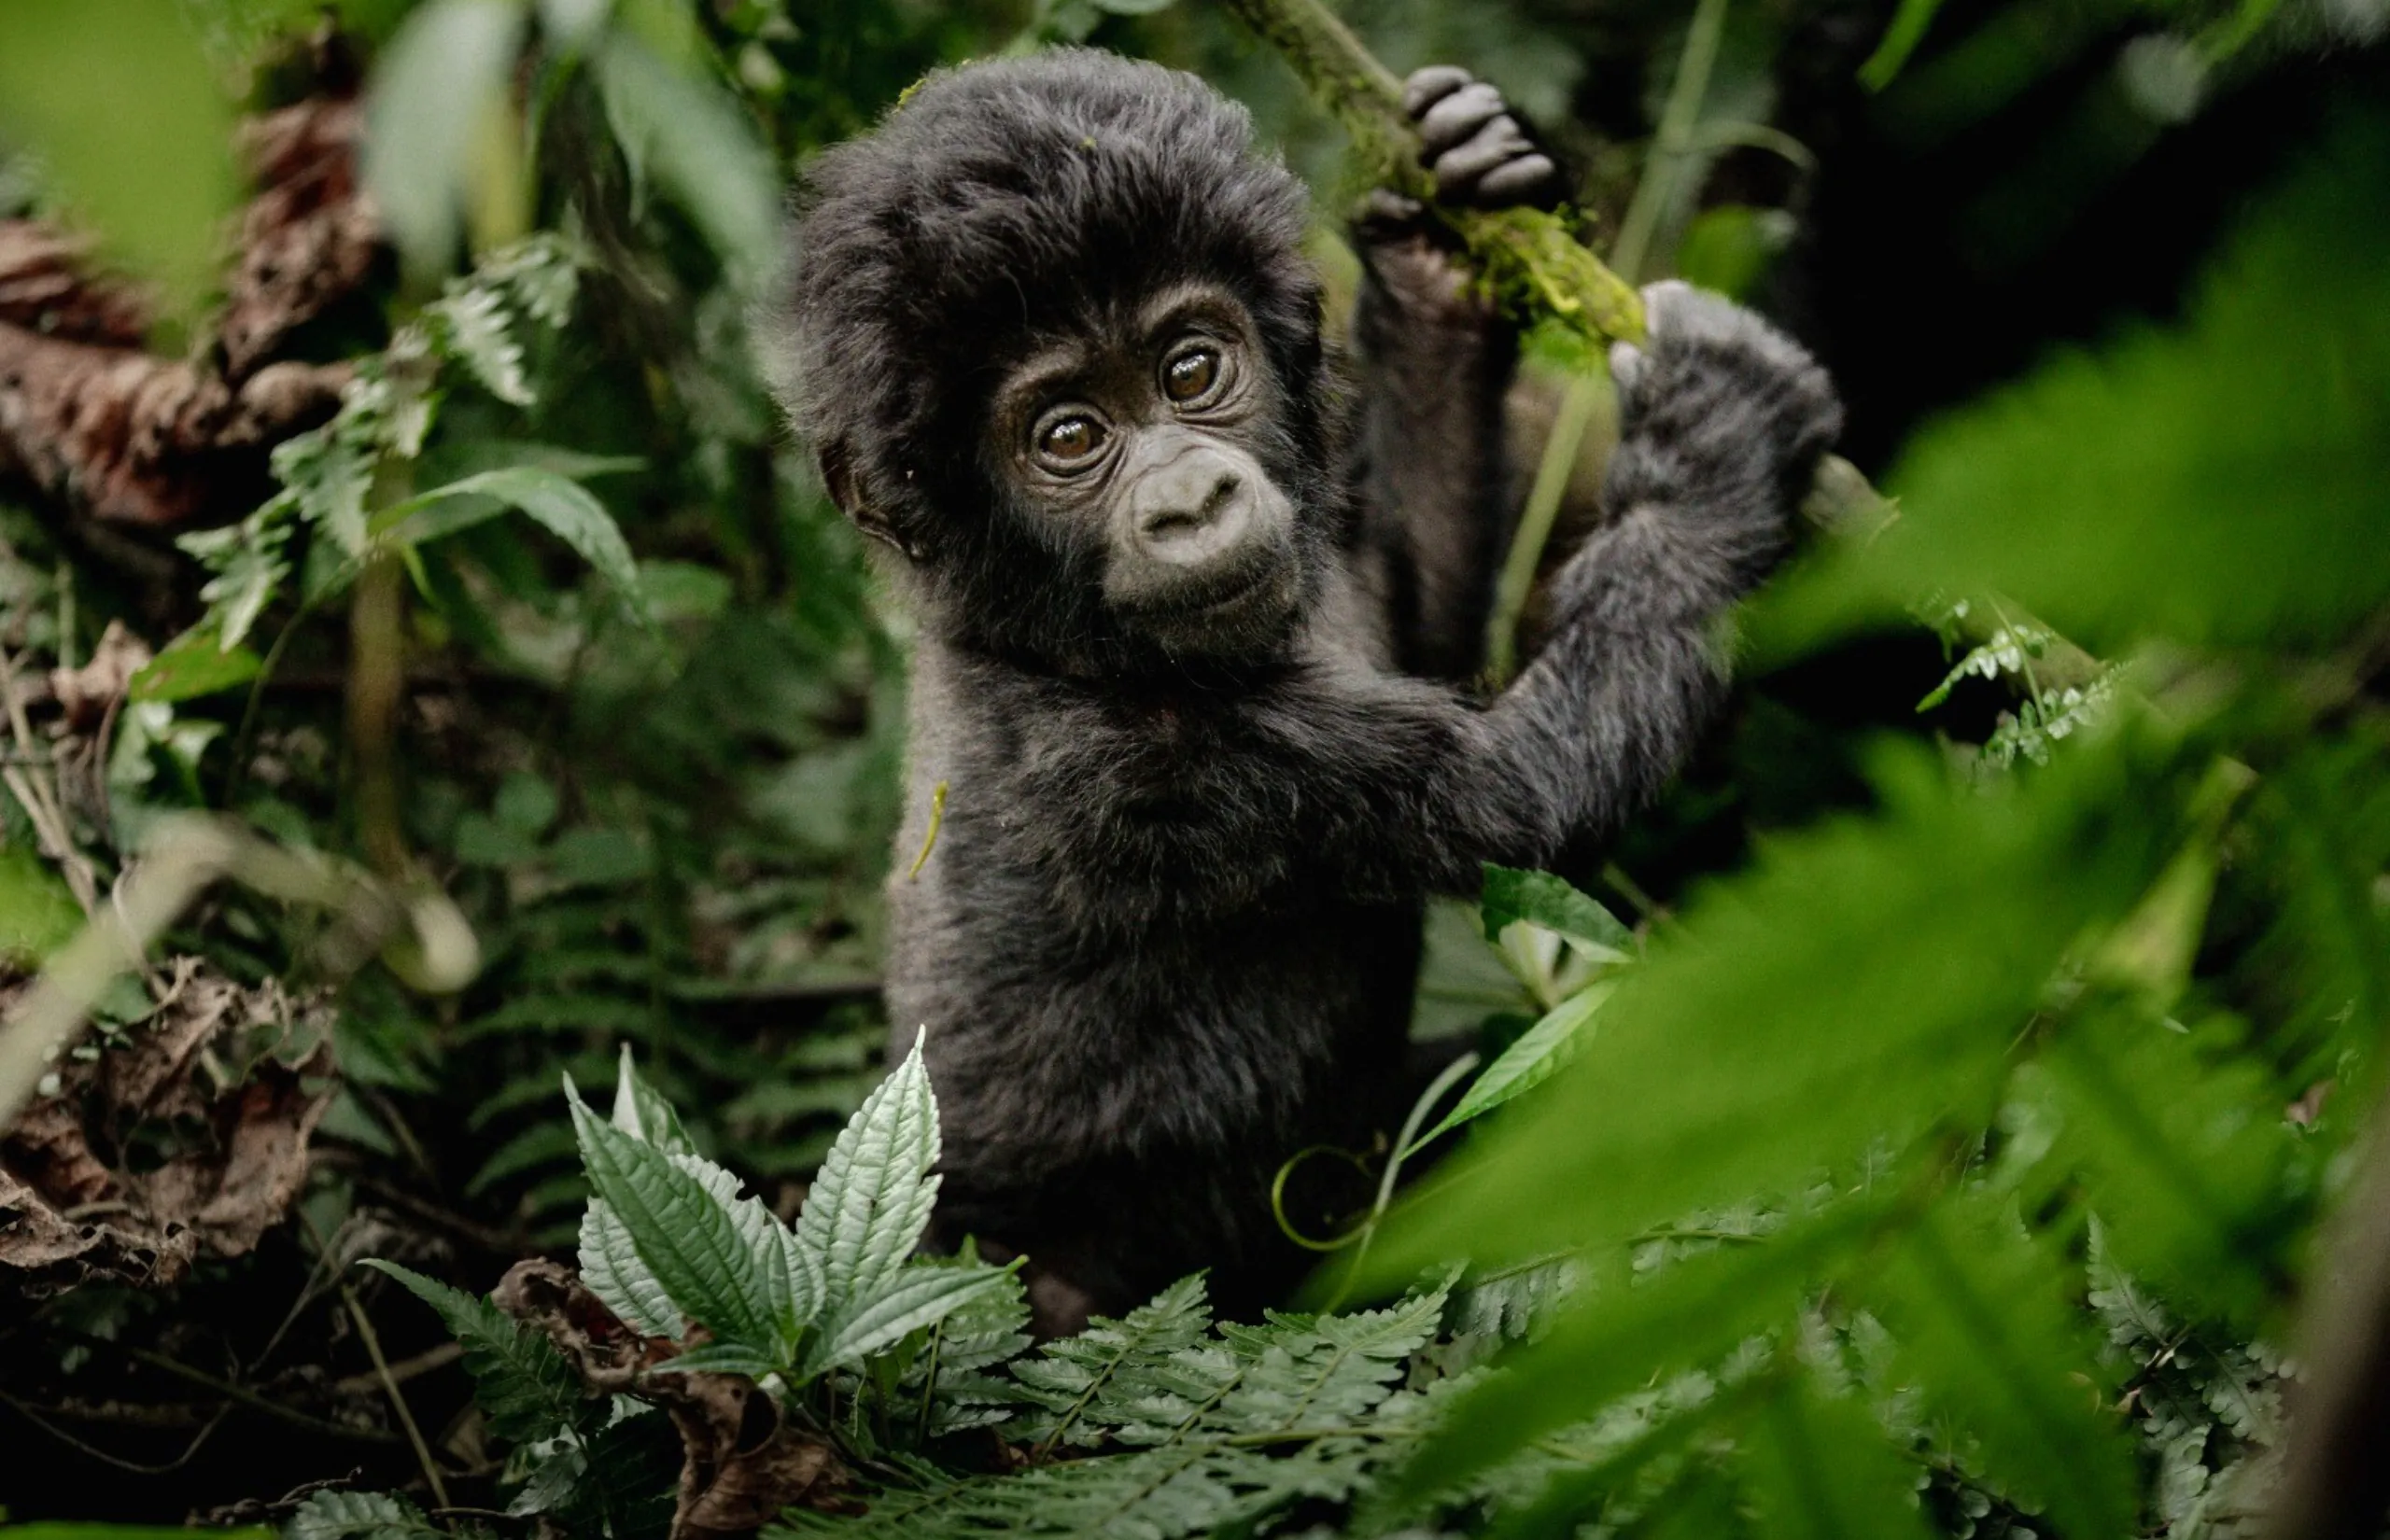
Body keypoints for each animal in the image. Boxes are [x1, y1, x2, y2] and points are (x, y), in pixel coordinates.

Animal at [774, 50, 1835, 1337]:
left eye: (1191, 370)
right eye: (1066, 437)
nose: (1189, 501)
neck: (1040, 640)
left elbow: (1421, 605)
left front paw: (1439, 239)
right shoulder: (1138, 766)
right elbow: (1521, 800)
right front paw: (1712, 441)